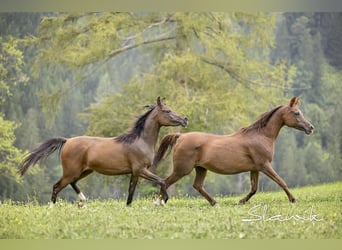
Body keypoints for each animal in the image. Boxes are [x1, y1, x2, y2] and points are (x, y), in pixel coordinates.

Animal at [18, 96, 187, 206]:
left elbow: (130, 195)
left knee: (72, 183)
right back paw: (54, 208)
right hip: (71, 171)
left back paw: (82, 201)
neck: (140, 141)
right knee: (57, 187)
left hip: (84, 171)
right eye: (167, 110)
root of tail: (67, 141)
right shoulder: (141, 170)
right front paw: (161, 201)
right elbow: (162, 181)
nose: (185, 119)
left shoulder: (135, 173)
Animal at [154, 96, 314, 206]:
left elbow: (254, 189)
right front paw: (293, 199)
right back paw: (160, 203)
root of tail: (180, 136)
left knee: (197, 186)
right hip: (182, 170)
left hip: (200, 168)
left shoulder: (255, 168)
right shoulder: (264, 165)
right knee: (165, 182)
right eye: (296, 113)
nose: (310, 127)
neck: (261, 136)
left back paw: (215, 203)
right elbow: (281, 181)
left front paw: (240, 201)